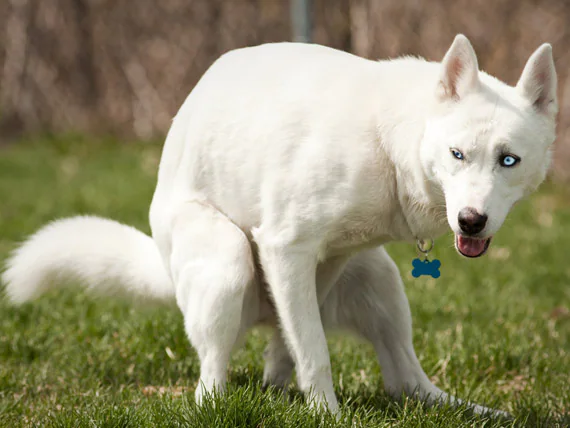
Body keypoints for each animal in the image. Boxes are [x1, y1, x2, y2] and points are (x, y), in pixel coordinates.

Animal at [3, 35, 556, 416]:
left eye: (508, 160)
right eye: (457, 154)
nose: (472, 221)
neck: (389, 142)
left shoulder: (326, 260)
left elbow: (295, 343)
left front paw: (295, 393)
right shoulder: (284, 249)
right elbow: (314, 351)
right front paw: (326, 415)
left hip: (379, 280)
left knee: (406, 382)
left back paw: (477, 412)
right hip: (227, 264)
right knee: (210, 373)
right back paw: (215, 404)